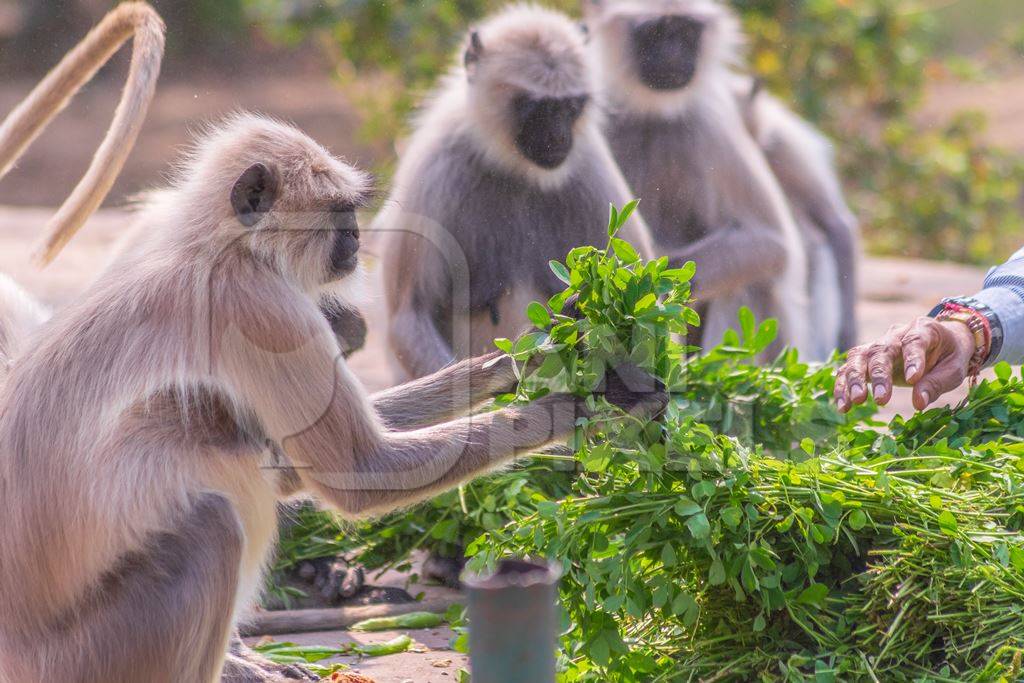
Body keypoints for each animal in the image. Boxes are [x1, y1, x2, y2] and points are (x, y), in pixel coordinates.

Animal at [0, 113, 655, 683]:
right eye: (341, 213)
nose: (357, 238)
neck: (216, 248)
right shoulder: (261, 307)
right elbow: (355, 471)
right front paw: (588, 400)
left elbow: (294, 466)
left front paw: (530, 360)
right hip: (87, 656)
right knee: (213, 519)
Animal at [376, 2, 655, 382]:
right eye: (538, 108)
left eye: (570, 106)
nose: (558, 138)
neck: (515, 169)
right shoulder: (435, 172)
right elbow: (410, 315)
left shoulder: (590, 171)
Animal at [585, 0, 815, 360]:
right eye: (655, 32)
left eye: (685, 32)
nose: (672, 55)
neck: (652, 114)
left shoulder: (710, 124)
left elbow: (770, 241)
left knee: (749, 279)